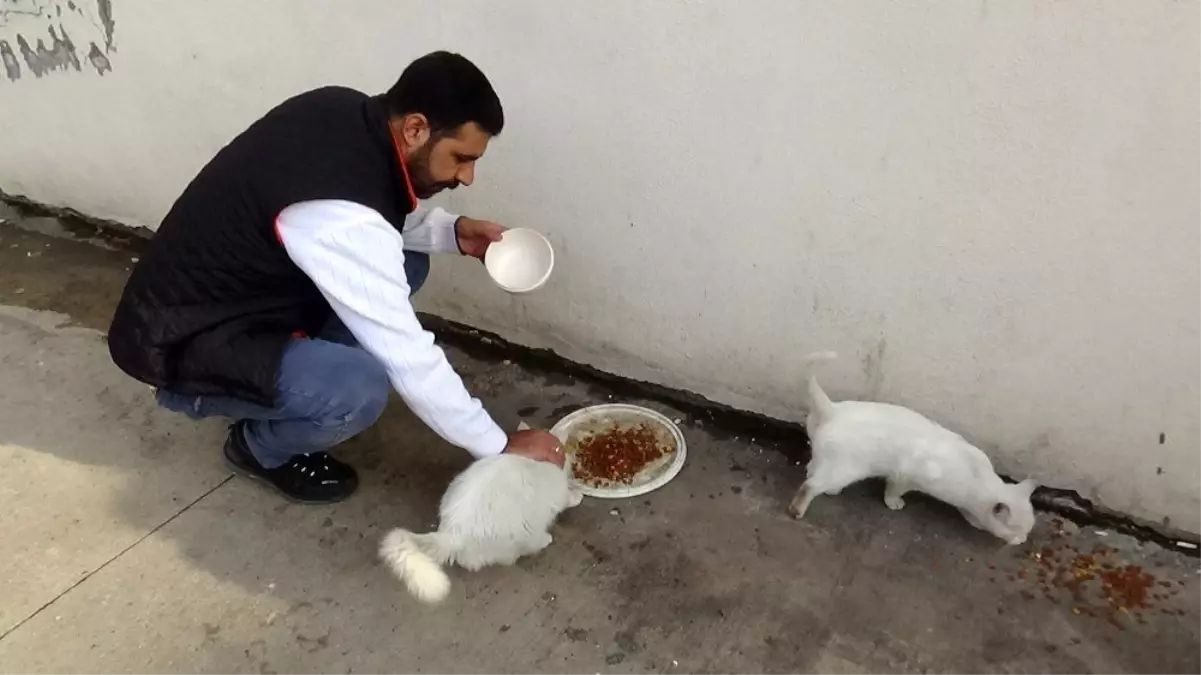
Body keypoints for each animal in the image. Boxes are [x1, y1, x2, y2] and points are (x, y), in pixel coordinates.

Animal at [374, 451, 581, 598]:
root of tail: (452, 532)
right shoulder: (559, 493)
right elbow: (568, 498)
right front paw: (577, 495)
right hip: (519, 532)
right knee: (516, 552)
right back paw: (544, 539)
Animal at [787, 348, 1032, 542]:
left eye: (1028, 531)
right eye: (1017, 530)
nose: (1022, 540)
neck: (978, 482)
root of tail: (833, 409)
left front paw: (975, 520)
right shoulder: (905, 475)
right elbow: (893, 490)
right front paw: (894, 503)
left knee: (811, 468)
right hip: (846, 469)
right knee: (810, 485)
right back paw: (798, 508)